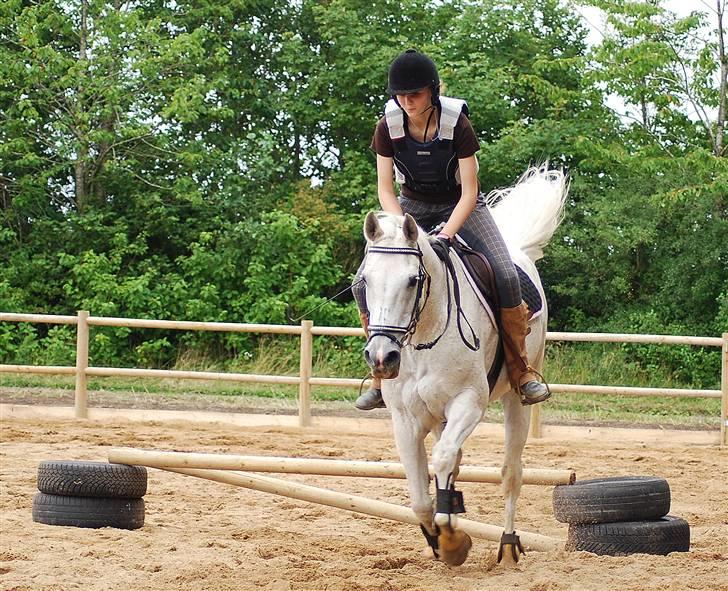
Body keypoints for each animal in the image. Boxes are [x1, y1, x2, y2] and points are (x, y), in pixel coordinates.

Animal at [362, 166, 564, 568]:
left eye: (413, 280)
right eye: (365, 281)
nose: (382, 358)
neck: (424, 337)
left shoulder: (468, 403)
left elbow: (441, 460)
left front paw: (454, 540)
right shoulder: (405, 420)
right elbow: (419, 495)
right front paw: (441, 541)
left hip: (515, 400)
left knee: (510, 473)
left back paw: (508, 545)